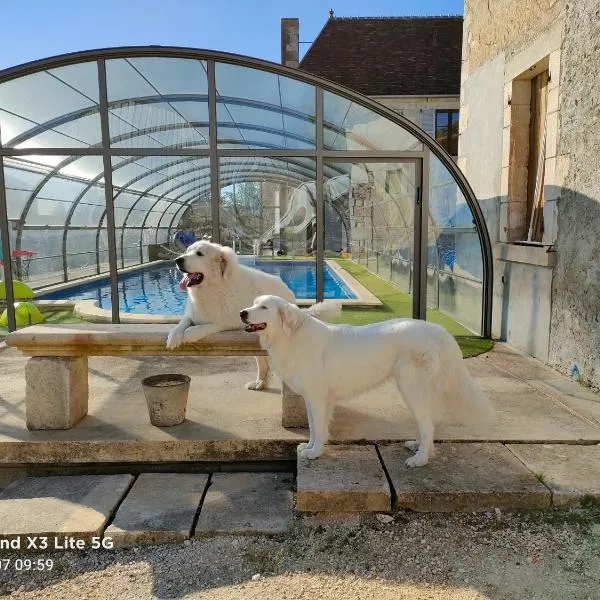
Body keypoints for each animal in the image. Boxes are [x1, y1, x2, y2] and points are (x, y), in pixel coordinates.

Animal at [168, 241, 294, 392]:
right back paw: (260, 382)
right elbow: (183, 322)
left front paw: (191, 333)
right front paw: (173, 337)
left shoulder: (231, 321)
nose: (178, 260)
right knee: (262, 361)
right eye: (187, 251)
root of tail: (286, 287)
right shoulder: (192, 314)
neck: (213, 288)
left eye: (199, 254)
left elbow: (212, 325)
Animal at [239, 294, 492, 464]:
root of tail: (438, 330)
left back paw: (420, 459)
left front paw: (315, 452)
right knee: (427, 424)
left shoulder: (318, 398)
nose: (242, 313)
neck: (291, 336)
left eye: (264, 307)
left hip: (411, 388)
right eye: (252, 303)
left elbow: (318, 427)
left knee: (427, 425)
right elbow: (313, 426)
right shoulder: (313, 399)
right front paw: (308, 448)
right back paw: (418, 447)